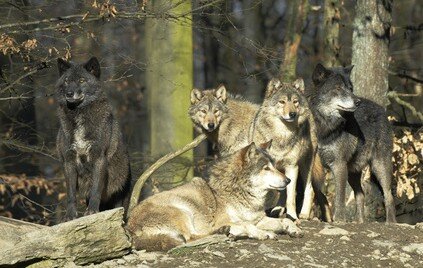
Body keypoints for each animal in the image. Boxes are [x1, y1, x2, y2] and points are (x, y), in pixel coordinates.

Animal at [56, 56, 132, 220]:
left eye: (82, 80)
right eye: (66, 81)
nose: (69, 93)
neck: (79, 115)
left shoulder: (99, 158)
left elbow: (96, 190)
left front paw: (92, 211)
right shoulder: (69, 161)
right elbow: (71, 194)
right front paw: (70, 216)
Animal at [127, 142, 304, 251]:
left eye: (274, 166)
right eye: (266, 168)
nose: (288, 180)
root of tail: (129, 227)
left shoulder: (258, 219)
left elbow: (285, 220)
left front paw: (294, 229)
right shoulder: (228, 220)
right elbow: (247, 225)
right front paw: (262, 233)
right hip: (181, 211)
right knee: (190, 238)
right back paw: (228, 232)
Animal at [308, 62, 398, 222]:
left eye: (350, 88)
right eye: (338, 88)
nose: (357, 102)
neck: (324, 126)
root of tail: (381, 110)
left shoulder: (338, 165)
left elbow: (339, 197)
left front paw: (339, 219)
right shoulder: (314, 166)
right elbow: (319, 194)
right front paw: (327, 218)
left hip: (379, 166)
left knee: (388, 196)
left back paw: (391, 223)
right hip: (353, 172)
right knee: (360, 195)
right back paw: (360, 222)